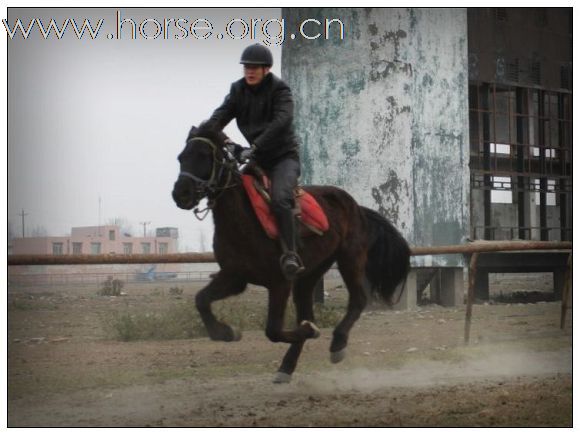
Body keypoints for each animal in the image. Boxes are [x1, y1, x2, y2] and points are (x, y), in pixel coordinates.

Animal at [172, 124, 412, 384]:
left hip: (350, 259)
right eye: (181, 157)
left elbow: (273, 330)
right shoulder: (234, 277)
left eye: (204, 156)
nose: (180, 193)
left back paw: (337, 344)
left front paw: (308, 331)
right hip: (309, 275)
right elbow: (201, 300)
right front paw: (226, 332)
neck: (242, 221)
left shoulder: (279, 282)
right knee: (309, 311)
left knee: (358, 299)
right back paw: (287, 366)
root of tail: (357, 207)